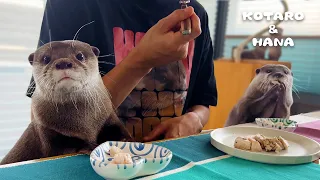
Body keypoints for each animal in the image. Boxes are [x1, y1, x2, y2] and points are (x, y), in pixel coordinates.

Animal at [0, 40, 133, 165]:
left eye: (80, 56)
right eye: (46, 58)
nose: (63, 63)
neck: (85, 123)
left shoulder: (108, 116)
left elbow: (118, 129)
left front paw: (126, 140)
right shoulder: (47, 131)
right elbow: (64, 146)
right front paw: (88, 147)